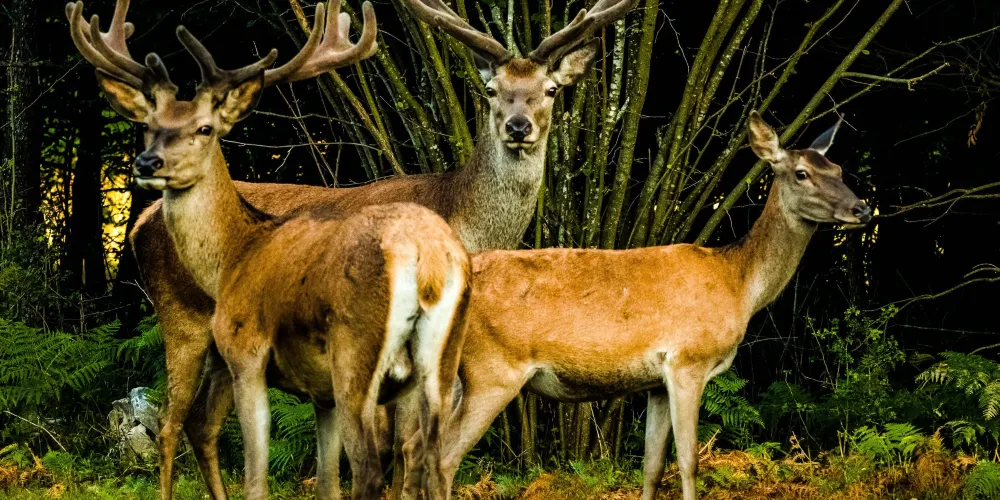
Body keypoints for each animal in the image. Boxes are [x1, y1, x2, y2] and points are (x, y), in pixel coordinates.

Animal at [67, 0, 637, 498]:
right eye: (492, 90)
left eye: (550, 89)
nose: (518, 127)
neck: (461, 219)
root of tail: (140, 222)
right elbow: (397, 450)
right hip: (180, 316)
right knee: (167, 424)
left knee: (201, 424)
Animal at [396, 111, 873, 500]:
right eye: (801, 173)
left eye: (839, 168)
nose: (862, 208)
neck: (738, 285)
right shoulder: (688, 361)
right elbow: (689, 462)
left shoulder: (656, 382)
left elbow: (652, 466)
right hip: (492, 370)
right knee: (443, 458)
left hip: (450, 373)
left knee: (414, 446)